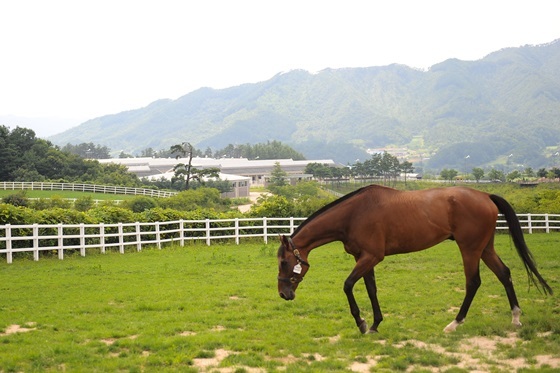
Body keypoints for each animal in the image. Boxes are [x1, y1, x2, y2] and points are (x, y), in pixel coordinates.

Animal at [276, 185, 552, 332]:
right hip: (485, 248)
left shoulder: (371, 257)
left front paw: (362, 323)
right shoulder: (364, 258)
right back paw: (515, 317)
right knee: (504, 273)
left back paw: (455, 323)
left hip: (470, 249)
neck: (354, 214)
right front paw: (375, 324)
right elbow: (371, 289)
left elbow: (348, 286)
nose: (283, 294)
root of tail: (485, 195)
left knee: (473, 282)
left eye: (284, 262)